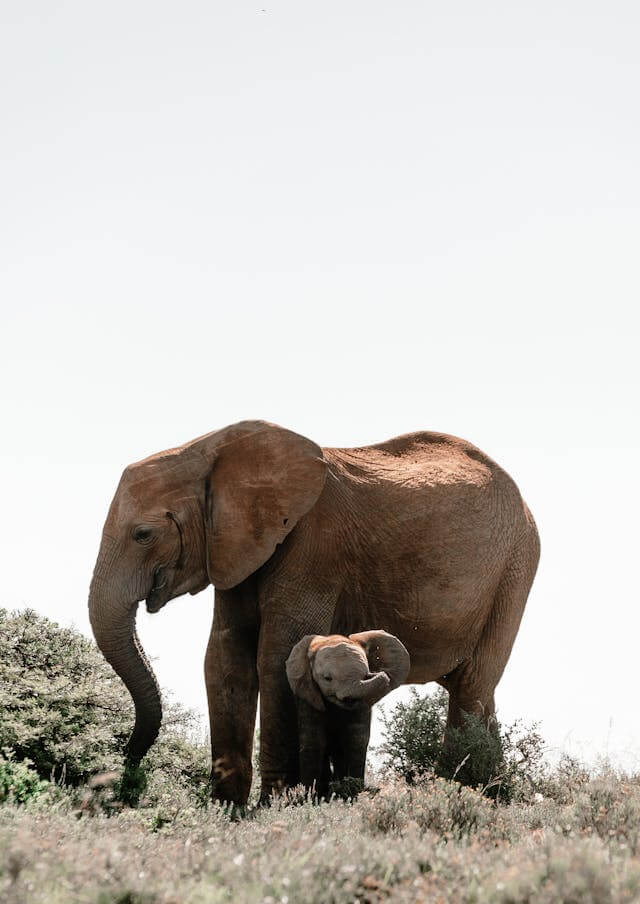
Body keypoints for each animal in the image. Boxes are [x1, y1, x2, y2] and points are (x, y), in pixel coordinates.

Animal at [286, 632, 410, 796]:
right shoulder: (308, 696)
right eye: (327, 678)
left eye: (365, 675)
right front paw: (308, 796)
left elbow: (356, 740)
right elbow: (313, 740)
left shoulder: (363, 703)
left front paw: (352, 791)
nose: (379, 673)